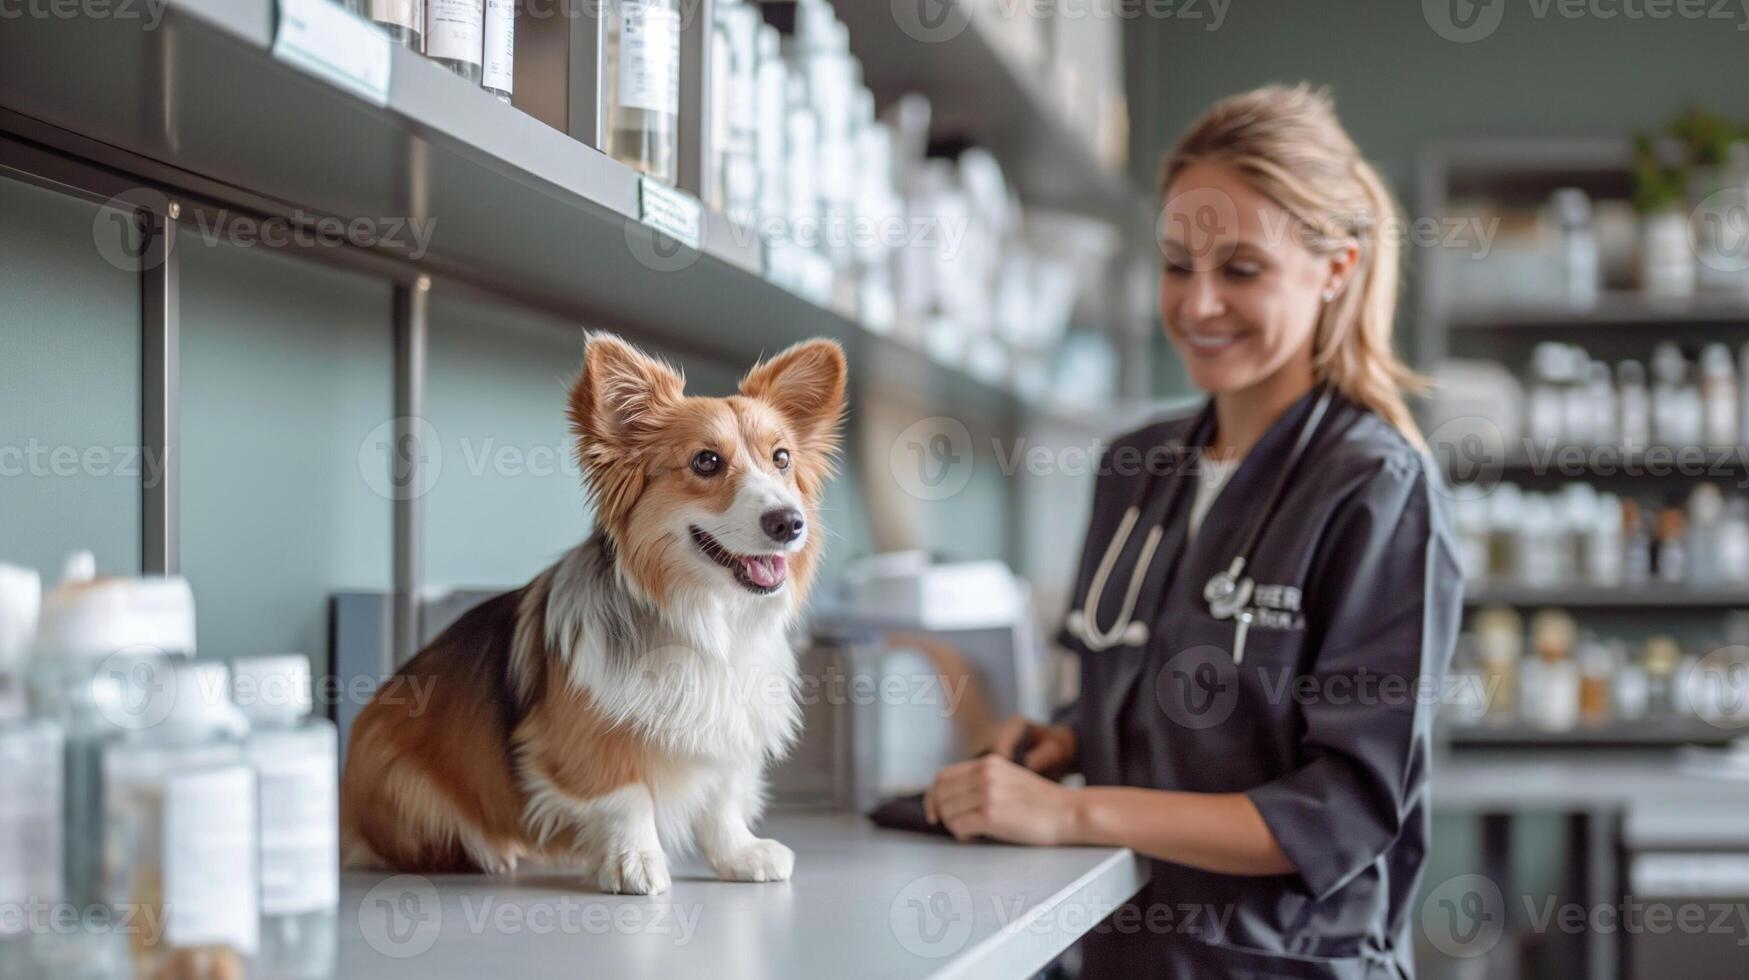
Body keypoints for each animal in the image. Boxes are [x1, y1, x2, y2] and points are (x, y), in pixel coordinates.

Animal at [341, 332, 846, 892]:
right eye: (706, 462)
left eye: (781, 458)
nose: (790, 523)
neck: (708, 616)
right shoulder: (588, 739)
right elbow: (626, 797)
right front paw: (634, 861)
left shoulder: (726, 737)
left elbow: (721, 803)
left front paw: (740, 855)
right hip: (401, 784)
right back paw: (492, 852)